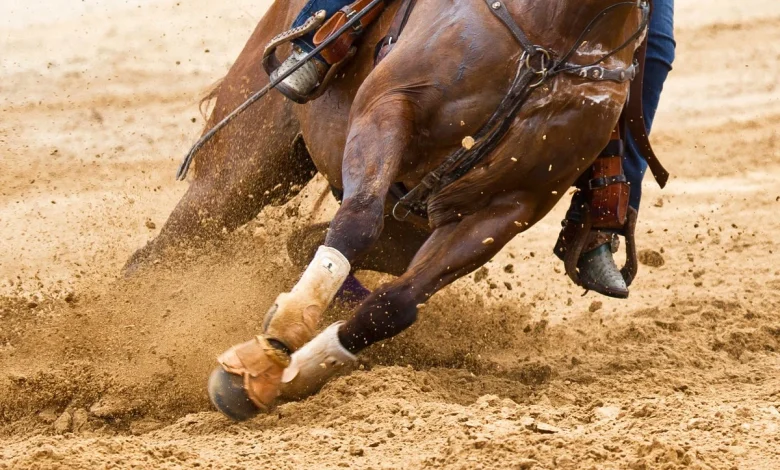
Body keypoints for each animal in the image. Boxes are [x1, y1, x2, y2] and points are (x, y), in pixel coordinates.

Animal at [125, 0, 650, 420]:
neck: (555, 29)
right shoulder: (390, 105)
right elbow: (358, 221)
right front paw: (275, 345)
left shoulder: (509, 207)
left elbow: (394, 305)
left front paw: (282, 375)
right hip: (243, 170)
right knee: (160, 252)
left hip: (400, 227)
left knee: (303, 243)